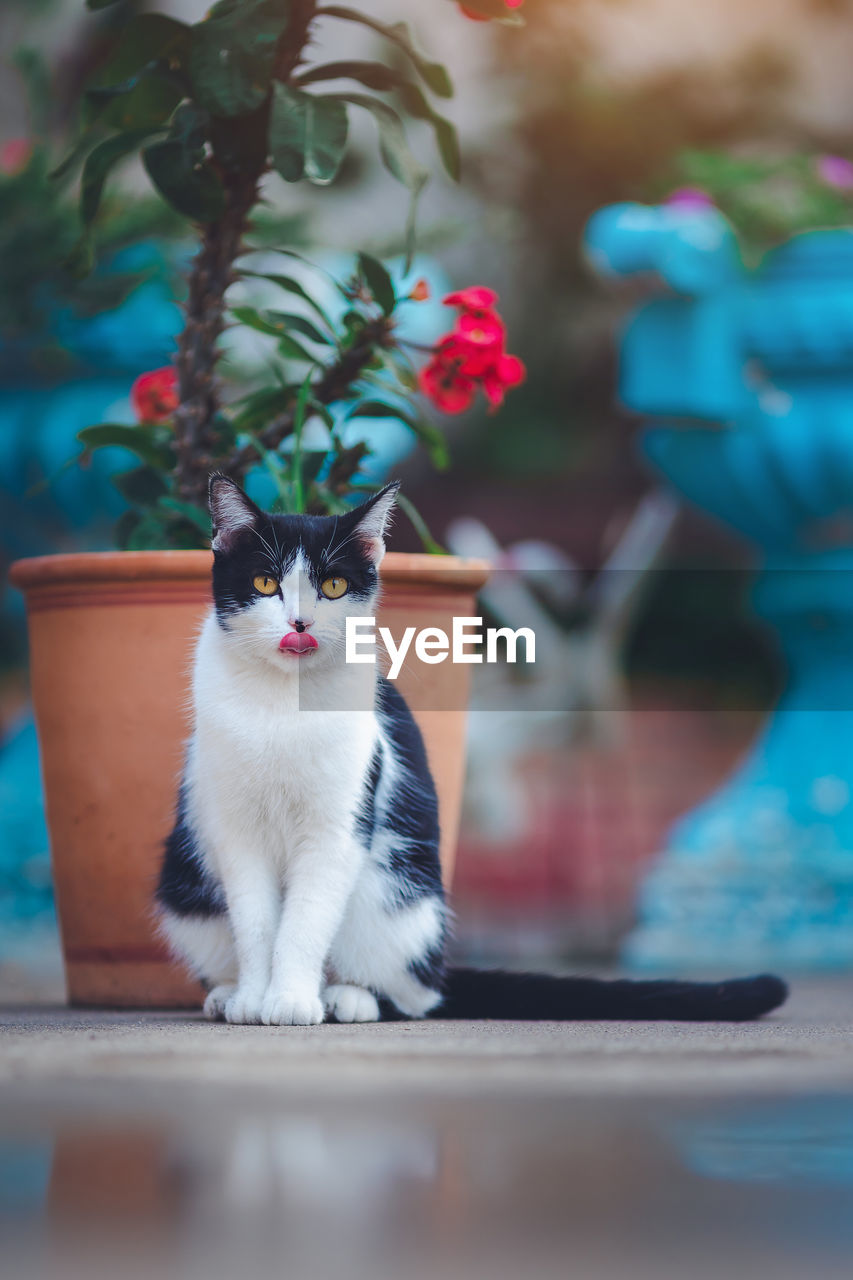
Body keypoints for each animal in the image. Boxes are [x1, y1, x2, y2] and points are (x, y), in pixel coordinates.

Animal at [156, 476, 788, 1024]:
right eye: (265, 584)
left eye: (333, 586)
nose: (300, 623)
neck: (285, 704)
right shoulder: (235, 829)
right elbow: (257, 922)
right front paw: (256, 996)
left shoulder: (339, 826)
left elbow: (305, 920)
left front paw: (289, 1000)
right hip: (189, 894)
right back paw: (229, 993)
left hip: (396, 902)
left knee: (412, 994)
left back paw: (348, 997)